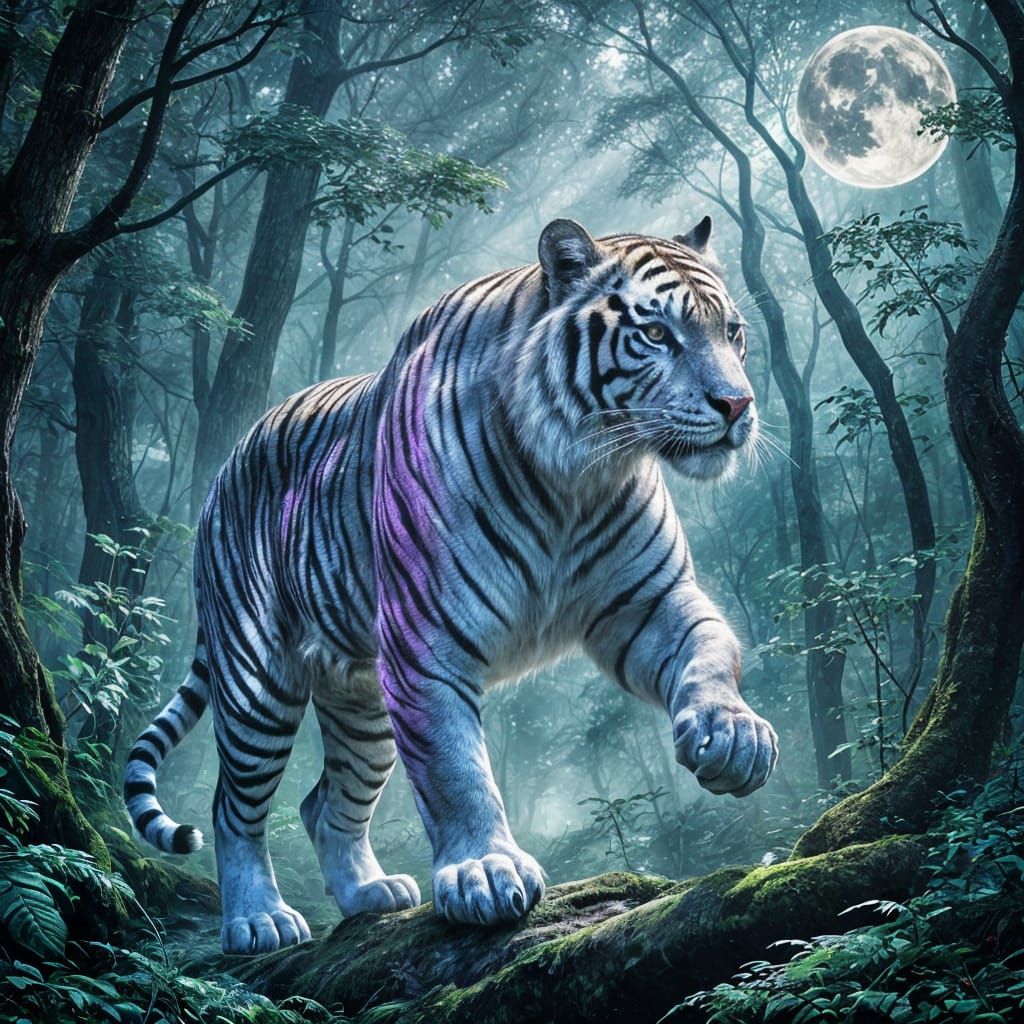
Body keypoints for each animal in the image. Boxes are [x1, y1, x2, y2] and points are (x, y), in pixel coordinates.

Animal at [125, 216, 778, 954]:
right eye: (658, 334)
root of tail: (231, 455)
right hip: (257, 682)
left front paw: (733, 735)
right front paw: (485, 871)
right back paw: (258, 919)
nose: (738, 403)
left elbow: (709, 650)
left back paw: (370, 895)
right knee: (233, 806)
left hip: (362, 704)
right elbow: (454, 770)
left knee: (324, 803)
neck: (577, 477)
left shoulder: (650, 603)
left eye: (732, 332)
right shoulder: (426, 645)